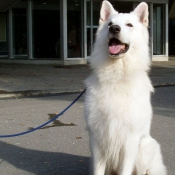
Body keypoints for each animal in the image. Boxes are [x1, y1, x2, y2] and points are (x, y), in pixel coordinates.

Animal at [84, 0, 167, 174]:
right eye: (110, 23)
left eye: (129, 25)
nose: (114, 29)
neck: (117, 77)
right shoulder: (96, 138)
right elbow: (98, 170)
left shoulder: (130, 139)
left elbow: (126, 169)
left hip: (145, 148)